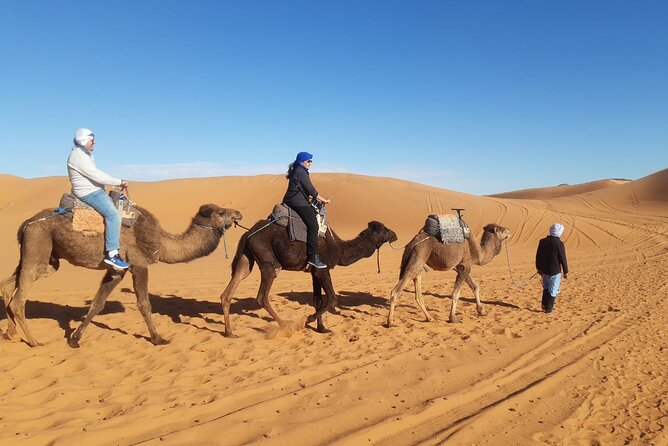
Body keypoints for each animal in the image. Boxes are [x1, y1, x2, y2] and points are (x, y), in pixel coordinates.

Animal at [0, 203, 243, 347]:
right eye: (221, 212)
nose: (239, 213)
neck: (160, 242)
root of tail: (26, 224)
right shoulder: (139, 263)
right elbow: (144, 304)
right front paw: (158, 338)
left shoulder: (117, 269)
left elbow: (97, 304)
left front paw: (75, 338)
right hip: (38, 246)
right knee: (19, 298)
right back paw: (34, 342)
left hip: (46, 258)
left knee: (8, 285)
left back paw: (10, 333)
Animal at [220, 219, 397, 336]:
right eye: (384, 229)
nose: (395, 234)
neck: (340, 249)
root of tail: (248, 233)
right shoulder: (322, 269)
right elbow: (332, 299)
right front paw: (309, 320)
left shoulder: (314, 271)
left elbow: (317, 300)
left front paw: (322, 328)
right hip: (268, 262)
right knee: (262, 296)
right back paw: (286, 325)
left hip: (246, 258)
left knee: (232, 286)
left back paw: (229, 332)